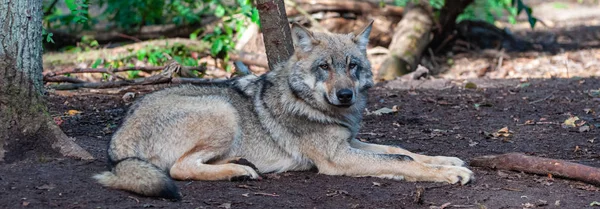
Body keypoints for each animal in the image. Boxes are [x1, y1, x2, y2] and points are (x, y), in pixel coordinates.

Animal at [94, 20, 474, 199]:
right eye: (324, 67)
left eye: (352, 66)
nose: (346, 95)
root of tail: (117, 139)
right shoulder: (338, 158)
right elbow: (399, 161)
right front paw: (448, 174)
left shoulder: (349, 142)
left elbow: (401, 150)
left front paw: (447, 161)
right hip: (222, 110)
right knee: (179, 169)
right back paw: (239, 171)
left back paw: (239, 166)